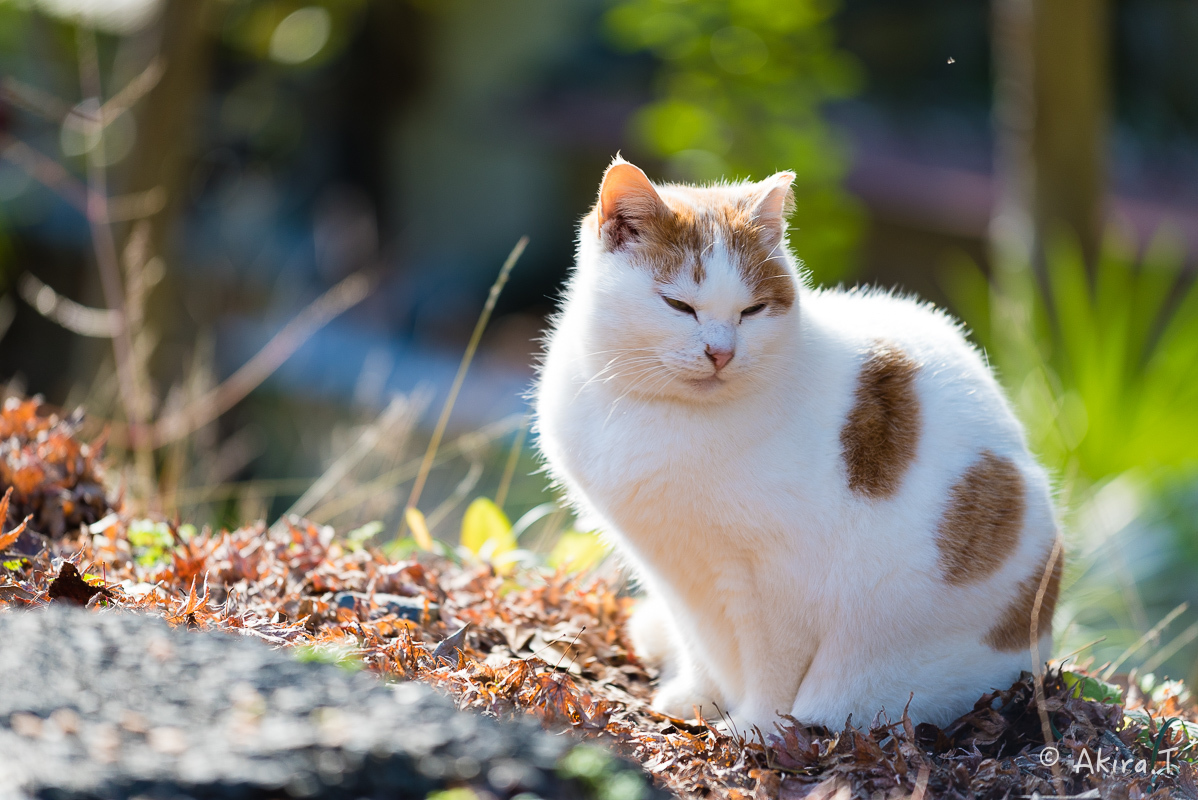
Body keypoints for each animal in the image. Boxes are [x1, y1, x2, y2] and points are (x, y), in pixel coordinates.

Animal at [534, 154, 1068, 732]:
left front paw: (755, 731)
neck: (661, 414)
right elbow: (698, 642)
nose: (721, 353)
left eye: (753, 310)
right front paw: (697, 698)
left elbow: (774, 669)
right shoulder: (673, 567)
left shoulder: (781, 581)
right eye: (679, 306)